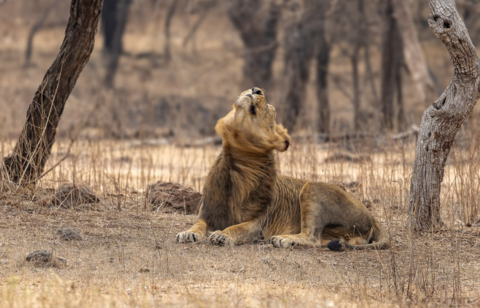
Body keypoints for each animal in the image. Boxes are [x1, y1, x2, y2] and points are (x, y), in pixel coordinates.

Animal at [176, 86, 390, 250]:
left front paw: (222, 235)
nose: (256, 89)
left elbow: (237, 228)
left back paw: (282, 240)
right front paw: (187, 234)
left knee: (311, 237)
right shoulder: (207, 213)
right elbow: (197, 224)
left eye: (270, 109)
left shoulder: (257, 223)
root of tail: (372, 216)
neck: (237, 164)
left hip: (312, 187)